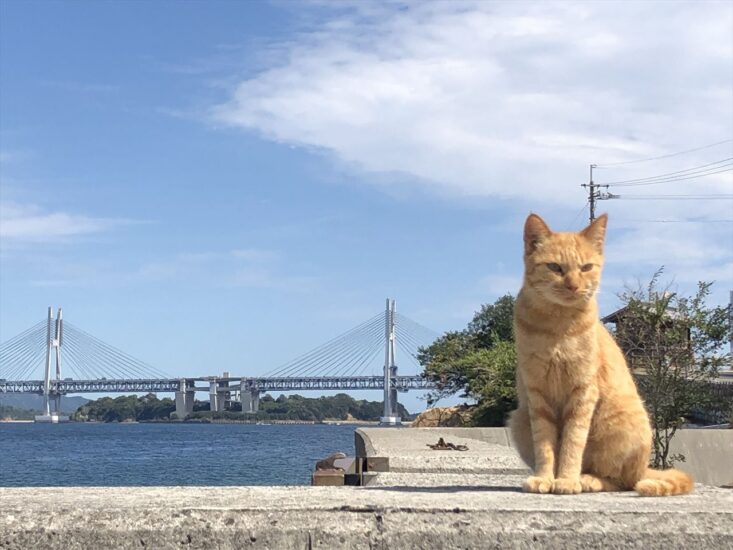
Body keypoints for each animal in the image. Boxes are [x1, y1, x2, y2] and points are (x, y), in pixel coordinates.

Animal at [508, 213, 692, 498]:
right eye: (555, 267)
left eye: (585, 267)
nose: (573, 286)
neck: (557, 324)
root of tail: (644, 468)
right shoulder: (537, 395)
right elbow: (546, 447)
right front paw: (545, 478)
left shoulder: (583, 392)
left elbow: (572, 443)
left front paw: (567, 480)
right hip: (519, 419)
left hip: (618, 425)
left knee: (622, 480)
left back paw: (588, 479)